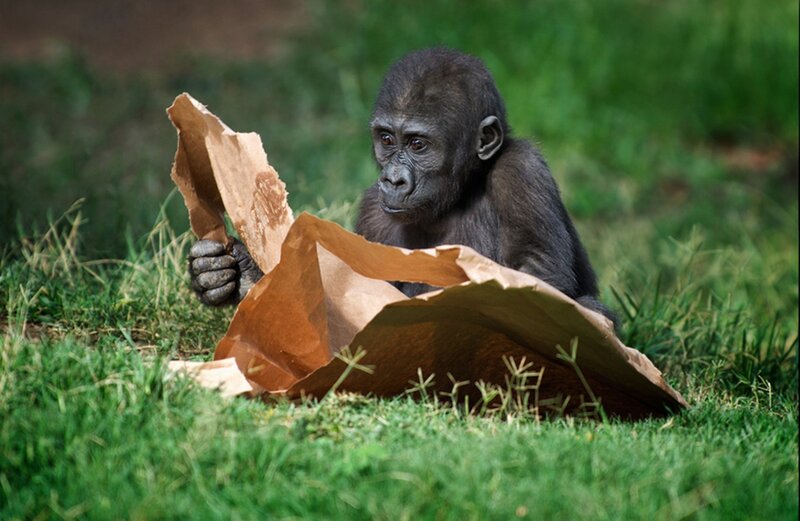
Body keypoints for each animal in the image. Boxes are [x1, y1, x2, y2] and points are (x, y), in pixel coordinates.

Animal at [188, 48, 618, 327]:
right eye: (386, 139)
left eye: (418, 145)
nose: (393, 179)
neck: (461, 190)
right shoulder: (372, 212)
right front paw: (239, 275)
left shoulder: (522, 171)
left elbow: (539, 277)